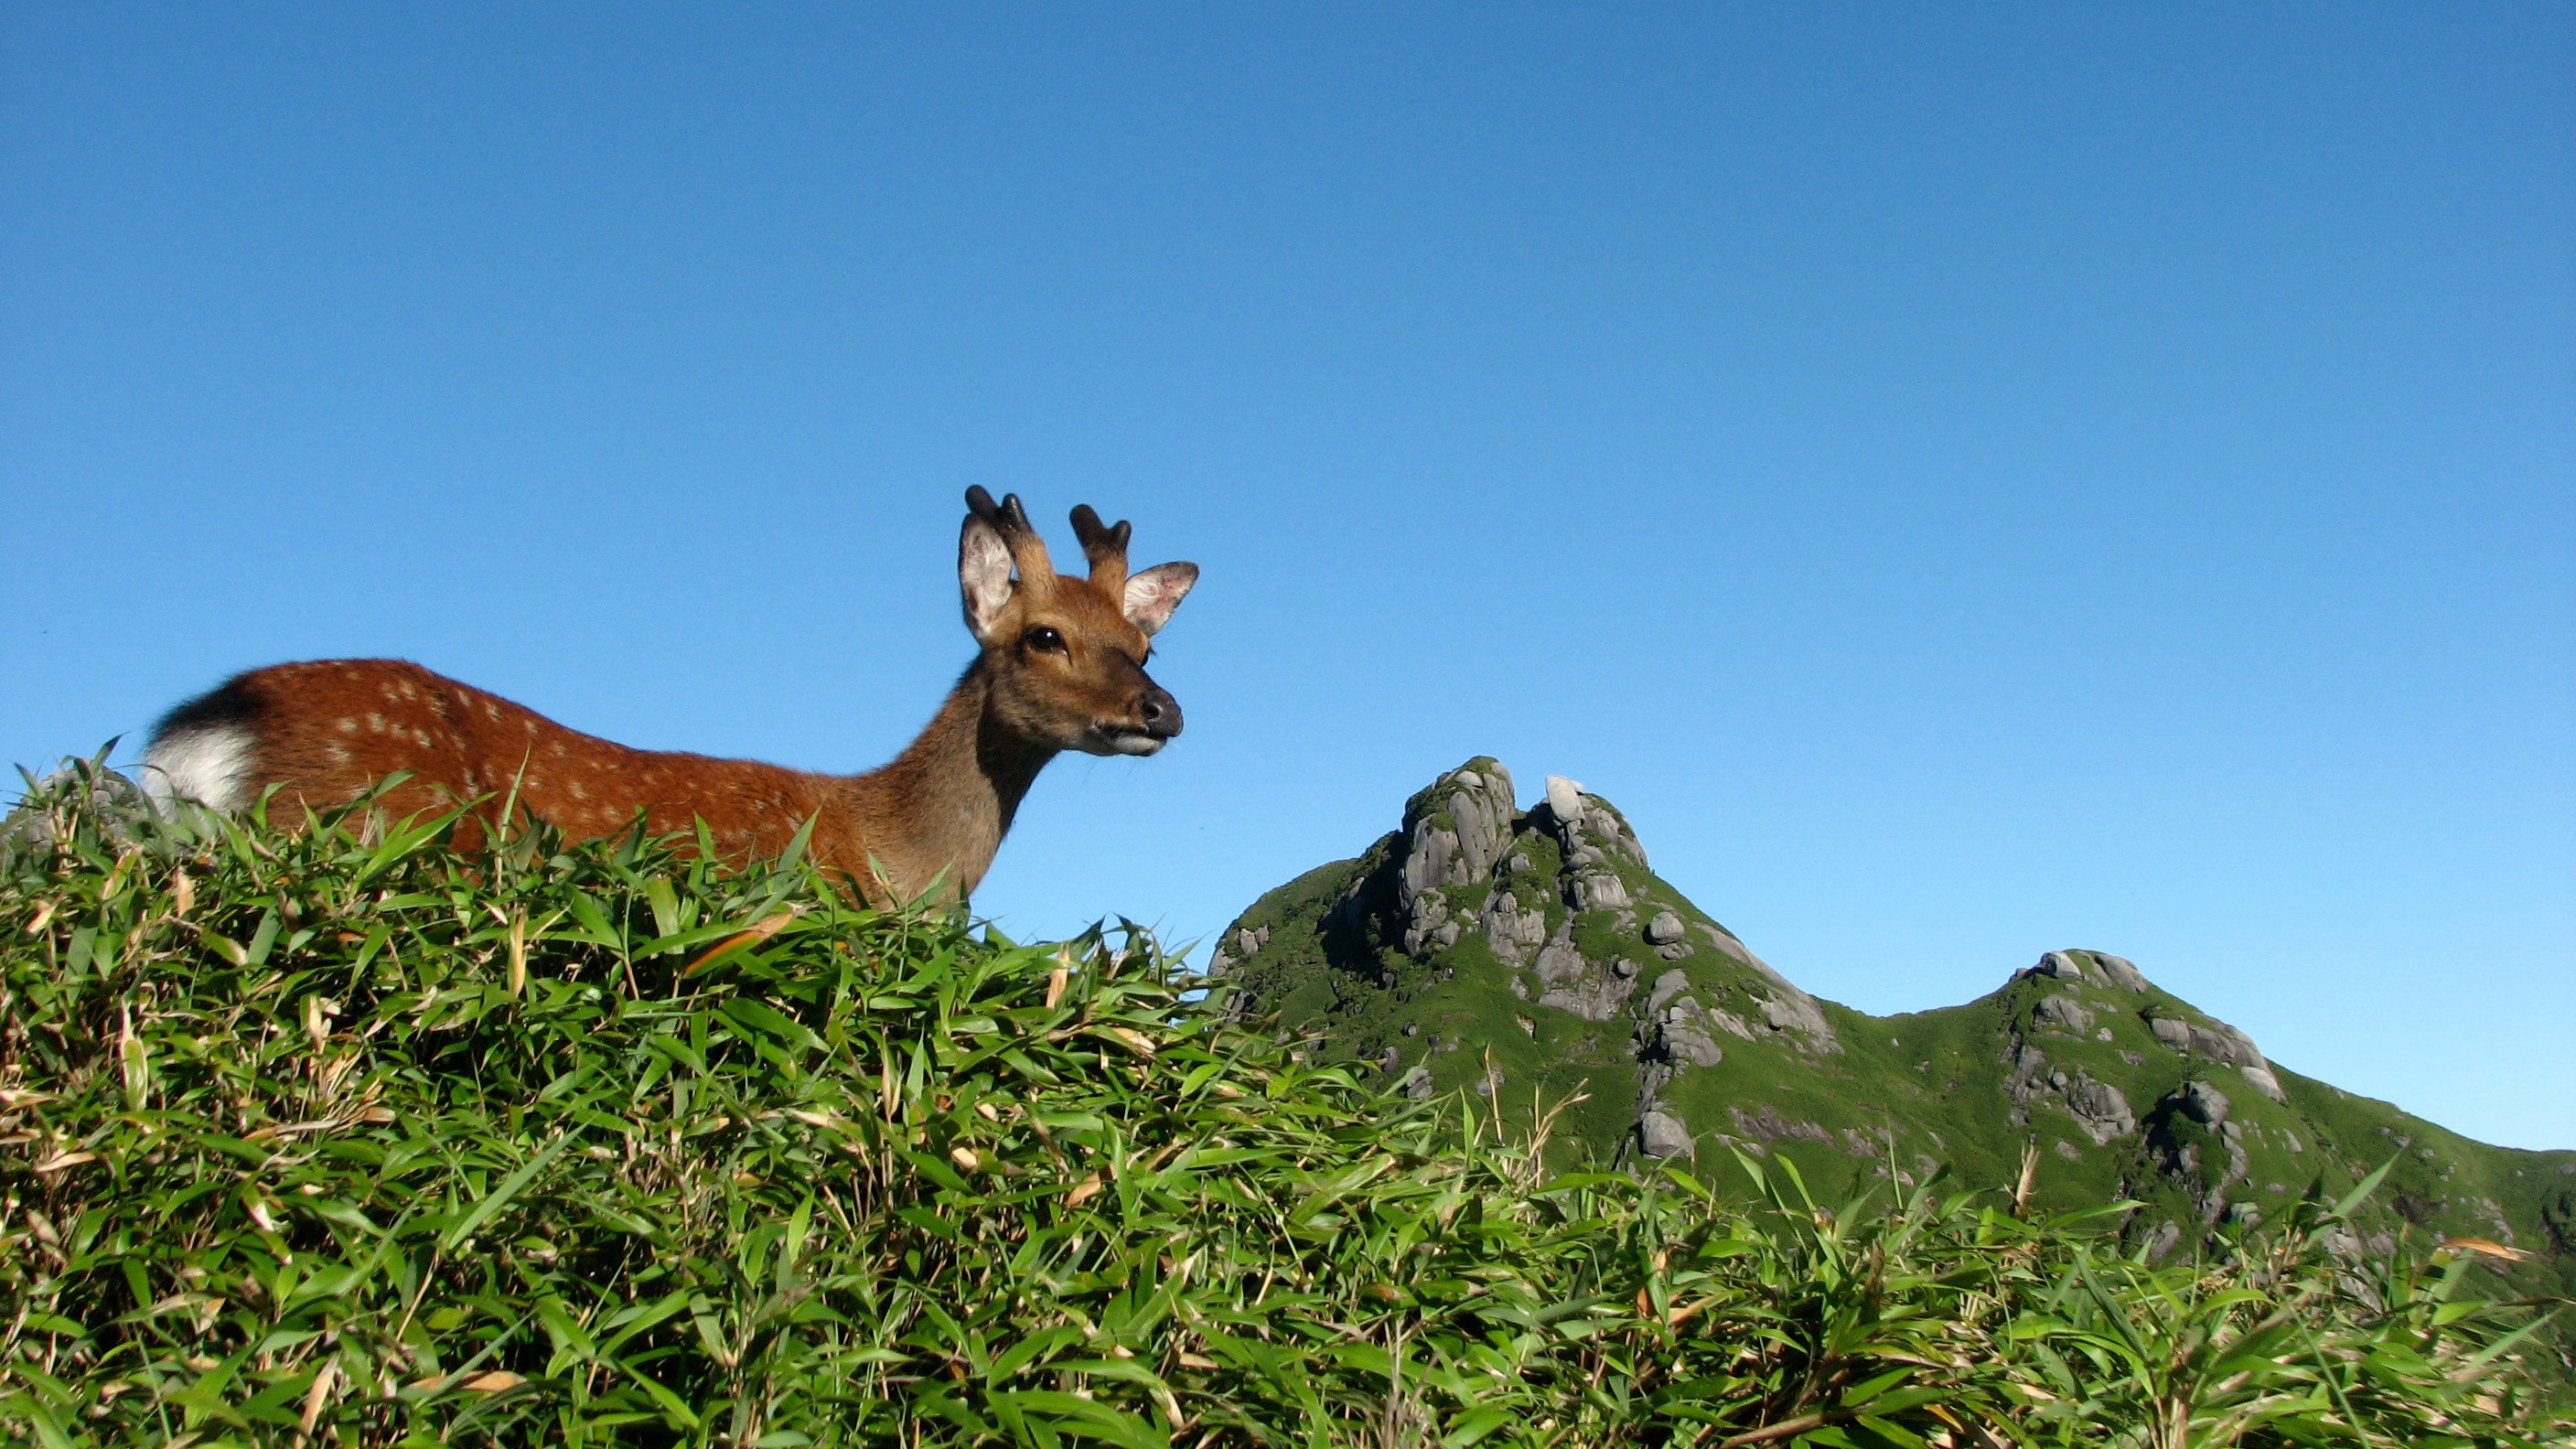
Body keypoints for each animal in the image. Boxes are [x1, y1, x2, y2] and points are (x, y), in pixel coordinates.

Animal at [133, 489, 1195, 896]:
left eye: (1143, 643)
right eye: (1043, 636)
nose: (1163, 710)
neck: (894, 863)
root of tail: (208, 730)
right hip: (364, 825)